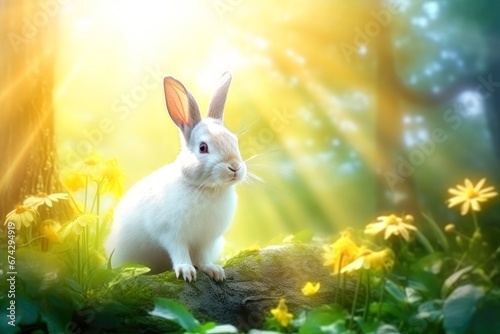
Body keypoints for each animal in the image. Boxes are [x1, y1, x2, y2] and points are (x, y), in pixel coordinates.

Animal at [105, 72, 246, 280]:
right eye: (203, 147)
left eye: (234, 141)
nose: (235, 166)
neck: (206, 188)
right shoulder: (172, 234)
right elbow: (179, 252)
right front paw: (186, 272)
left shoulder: (206, 240)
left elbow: (203, 257)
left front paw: (214, 271)